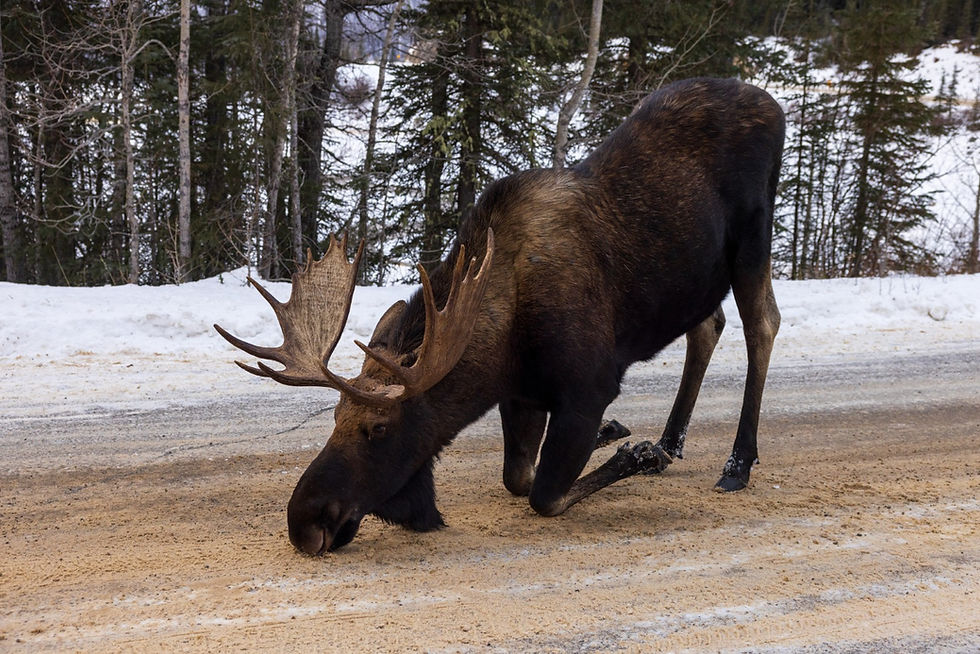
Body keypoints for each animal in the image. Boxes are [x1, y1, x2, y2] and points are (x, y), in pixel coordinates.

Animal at [215, 77, 785, 556]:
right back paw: (672, 440)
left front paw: (638, 456)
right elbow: (519, 477)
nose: (303, 521)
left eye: (378, 428)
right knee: (708, 327)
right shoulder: (522, 395)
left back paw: (736, 464)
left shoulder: (588, 387)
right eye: (334, 417)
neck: (504, 343)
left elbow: (545, 495)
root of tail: (773, 104)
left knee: (762, 325)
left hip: (753, 240)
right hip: (699, 277)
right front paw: (622, 438)